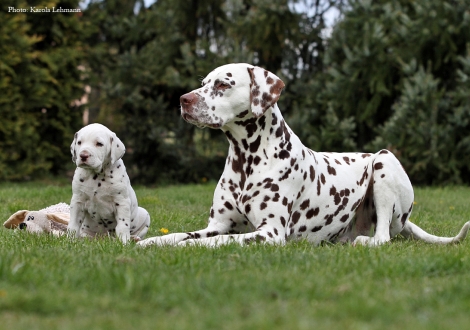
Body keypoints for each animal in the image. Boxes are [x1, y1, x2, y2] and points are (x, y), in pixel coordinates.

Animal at [138, 63, 468, 246]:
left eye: (223, 83)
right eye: (204, 83)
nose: (183, 100)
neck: (247, 160)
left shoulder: (268, 233)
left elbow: (215, 243)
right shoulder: (216, 225)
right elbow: (180, 235)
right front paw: (150, 241)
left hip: (384, 160)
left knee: (382, 238)